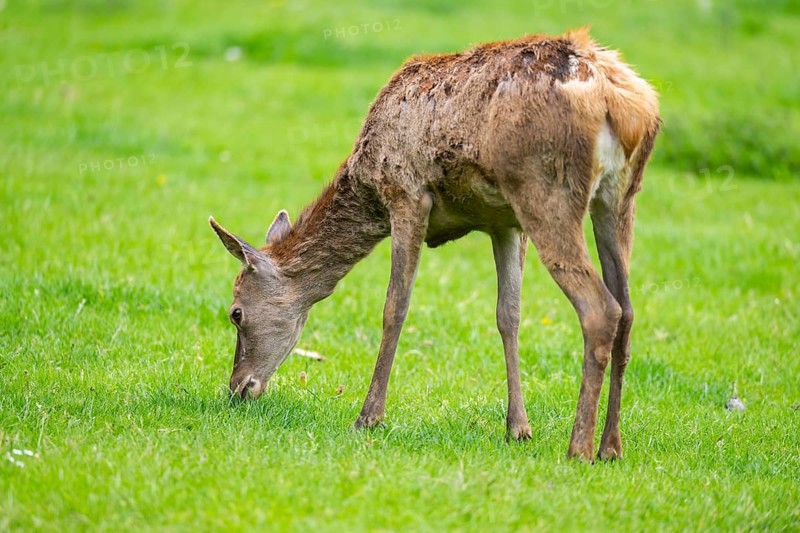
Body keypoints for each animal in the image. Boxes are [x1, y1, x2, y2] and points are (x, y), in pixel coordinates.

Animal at [209, 28, 660, 461]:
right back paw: (611, 447)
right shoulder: (506, 224)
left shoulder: (406, 193)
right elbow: (508, 315)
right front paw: (518, 427)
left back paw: (578, 448)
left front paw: (368, 417)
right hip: (619, 197)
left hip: (544, 189)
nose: (238, 388)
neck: (366, 178)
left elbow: (395, 307)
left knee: (600, 308)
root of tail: (626, 105)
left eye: (235, 312)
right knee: (628, 310)